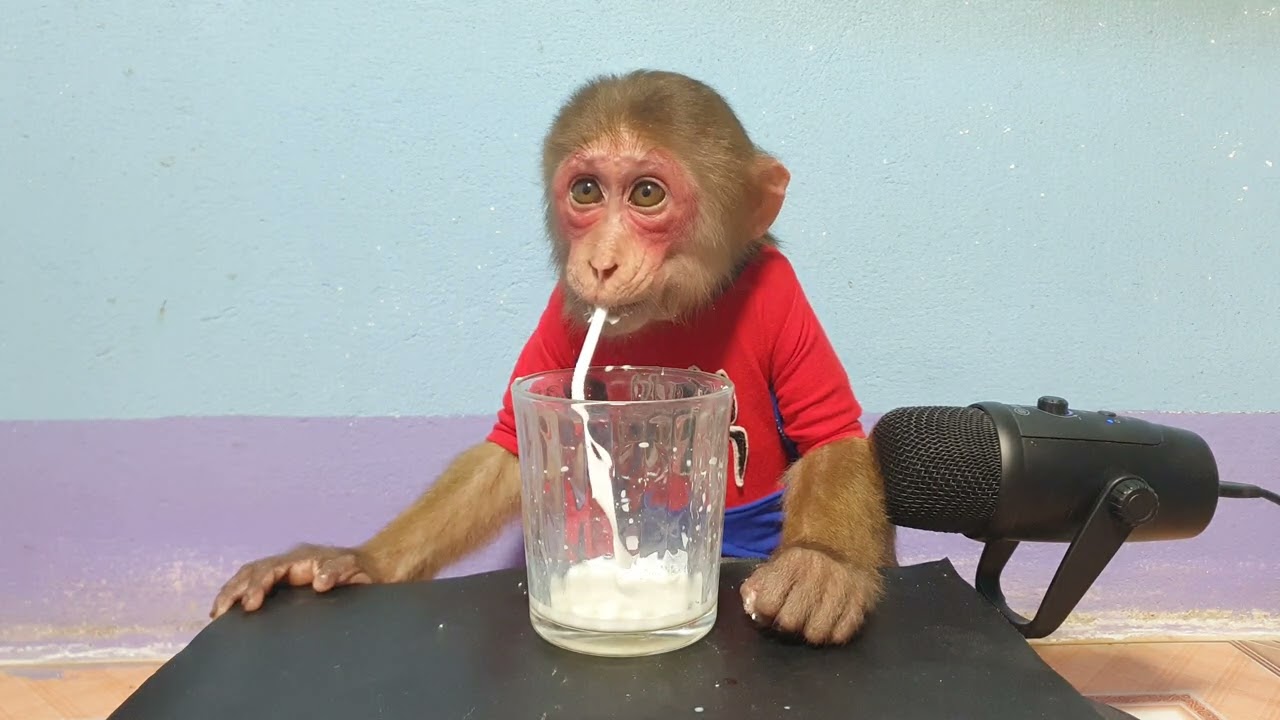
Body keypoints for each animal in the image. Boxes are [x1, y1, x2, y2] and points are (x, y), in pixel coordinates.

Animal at [210, 69, 897, 646]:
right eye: (587, 191)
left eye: (647, 194)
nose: (601, 262)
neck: (676, 314)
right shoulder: (558, 314)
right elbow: (509, 447)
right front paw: (362, 560)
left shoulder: (782, 297)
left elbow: (827, 429)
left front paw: (823, 567)